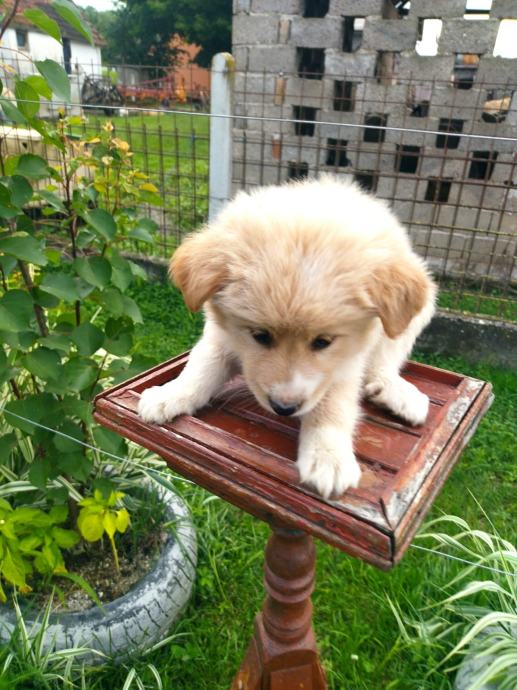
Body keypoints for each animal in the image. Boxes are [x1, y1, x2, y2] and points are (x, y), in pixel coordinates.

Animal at [138, 177, 436, 498]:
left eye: (323, 342)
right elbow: (200, 369)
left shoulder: (345, 361)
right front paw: (169, 394)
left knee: (385, 361)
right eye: (260, 336)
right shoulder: (221, 335)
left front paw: (327, 456)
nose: (284, 408)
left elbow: (333, 403)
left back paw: (395, 391)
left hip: (412, 316)